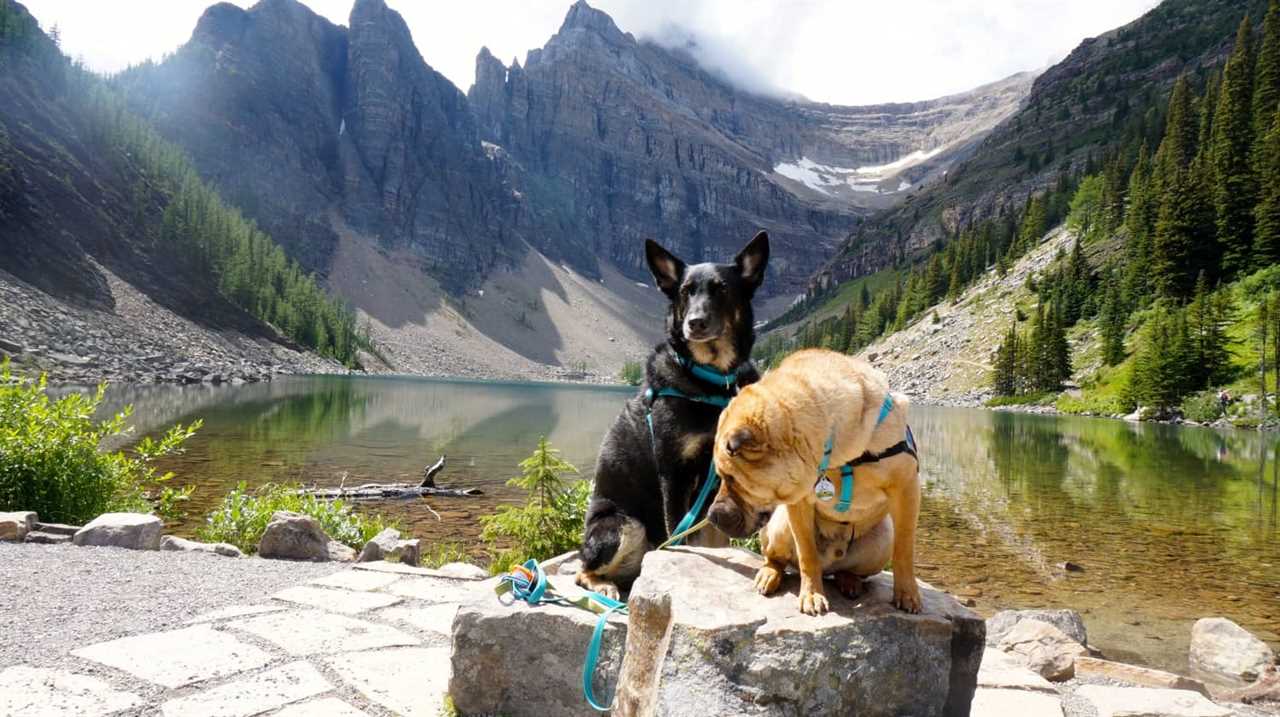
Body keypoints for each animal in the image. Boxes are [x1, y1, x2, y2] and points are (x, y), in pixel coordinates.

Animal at [581, 230, 768, 599]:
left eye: (721, 289)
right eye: (685, 291)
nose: (694, 323)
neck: (712, 380)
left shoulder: (716, 479)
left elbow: (713, 541)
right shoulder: (674, 473)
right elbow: (679, 535)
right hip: (622, 524)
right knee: (583, 568)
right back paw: (603, 587)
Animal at [711, 348, 921, 617]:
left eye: (730, 478)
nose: (712, 516)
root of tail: (832, 561)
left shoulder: (907, 487)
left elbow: (905, 548)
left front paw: (907, 594)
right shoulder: (798, 503)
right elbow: (807, 554)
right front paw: (812, 594)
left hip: (883, 539)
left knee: (852, 569)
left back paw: (849, 580)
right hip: (779, 525)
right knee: (775, 558)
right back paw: (770, 574)